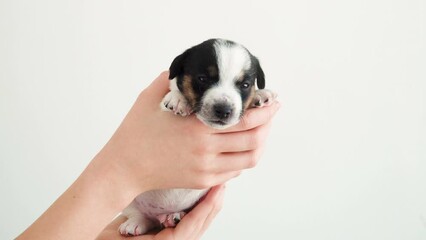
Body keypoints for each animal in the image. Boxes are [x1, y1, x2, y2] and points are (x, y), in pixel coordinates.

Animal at [118, 38, 276, 235]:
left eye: (245, 85)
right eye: (202, 79)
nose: (223, 110)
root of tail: (159, 215)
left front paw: (260, 94)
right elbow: (171, 95)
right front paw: (178, 99)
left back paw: (173, 216)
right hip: (130, 200)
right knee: (140, 215)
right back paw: (136, 223)